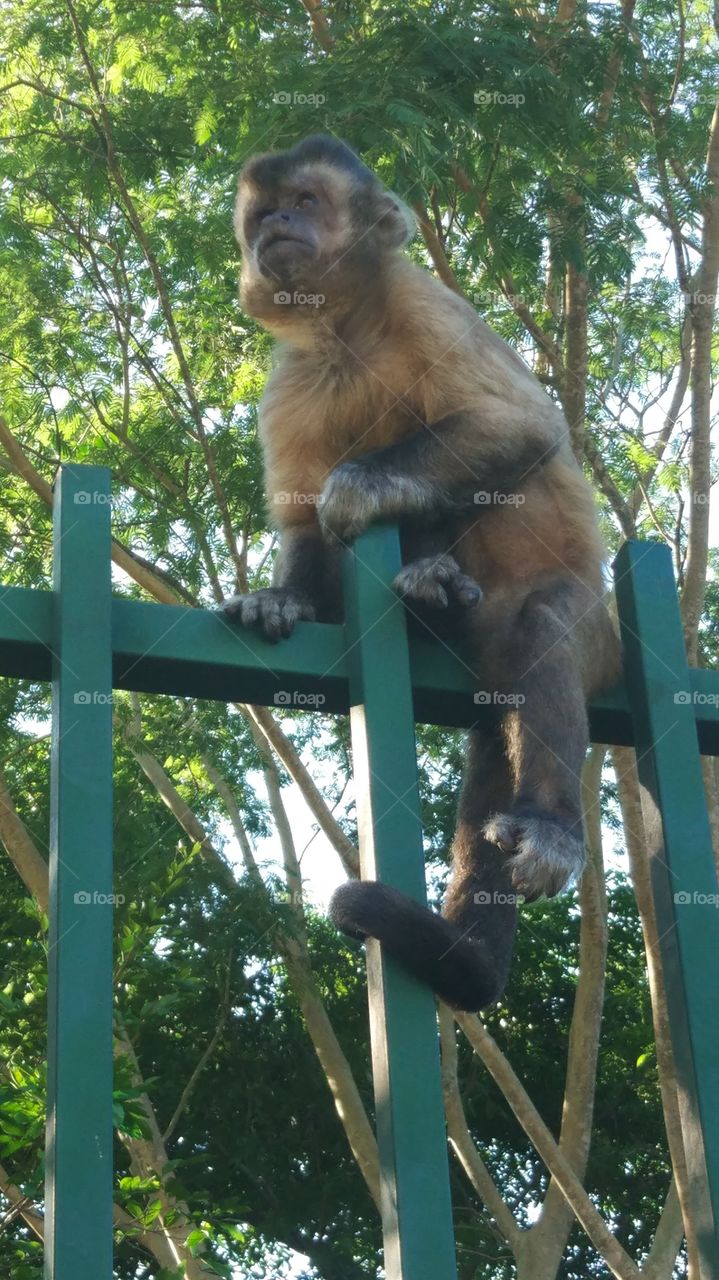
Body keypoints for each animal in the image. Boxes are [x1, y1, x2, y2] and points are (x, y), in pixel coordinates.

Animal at [226, 134, 621, 1012]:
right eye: (262, 214)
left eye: (303, 203)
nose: (276, 227)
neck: (346, 330)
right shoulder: (292, 376)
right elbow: (302, 525)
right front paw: (285, 599)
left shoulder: (425, 303)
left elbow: (523, 427)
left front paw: (360, 487)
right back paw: (429, 600)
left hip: (591, 634)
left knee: (545, 616)